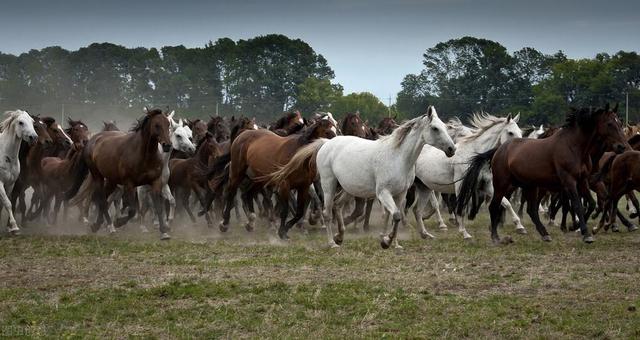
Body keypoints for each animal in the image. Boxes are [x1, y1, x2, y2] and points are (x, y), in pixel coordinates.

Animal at [64, 109, 172, 239]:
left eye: (168, 124)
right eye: (156, 125)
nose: (167, 145)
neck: (144, 156)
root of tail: (92, 141)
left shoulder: (156, 182)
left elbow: (159, 207)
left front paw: (164, 232)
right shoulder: (129, 184)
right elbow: (132, 210)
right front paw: (118, 222)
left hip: (112, 181)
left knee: (103, 200)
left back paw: (97, 224)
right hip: (98, 177)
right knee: (101, 199)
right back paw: (109, 226)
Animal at [458, 105, 628, 243]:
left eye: (620, 123)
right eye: (609, 124)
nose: (622, 147)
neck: (573, 146)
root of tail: (499, 149)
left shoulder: (582, 181)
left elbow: (591, 203)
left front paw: (576, 227)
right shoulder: (568, 181)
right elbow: (577, 205)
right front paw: (585, 233)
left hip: (530, 186)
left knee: (531, 210)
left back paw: (544, 233)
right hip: (502, 184)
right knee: (494, 206)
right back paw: (495, 237)